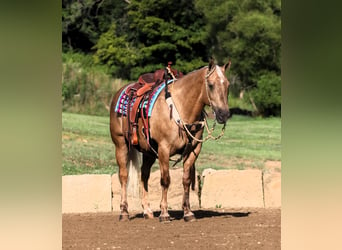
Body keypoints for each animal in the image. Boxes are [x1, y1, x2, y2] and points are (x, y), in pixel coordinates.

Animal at [111, 59, 231, 222]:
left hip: (148, 151)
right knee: (124, 176)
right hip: (121, 145)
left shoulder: (193, 150)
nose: (224, 114)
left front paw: (188, 212)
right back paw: (124, 212)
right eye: (211, 85)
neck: (181, 106)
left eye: (228, 85)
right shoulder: (164, 149)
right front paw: (164, 213)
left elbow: (186, 180)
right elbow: (165, 180)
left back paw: (147, 211)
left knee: (144, 175)